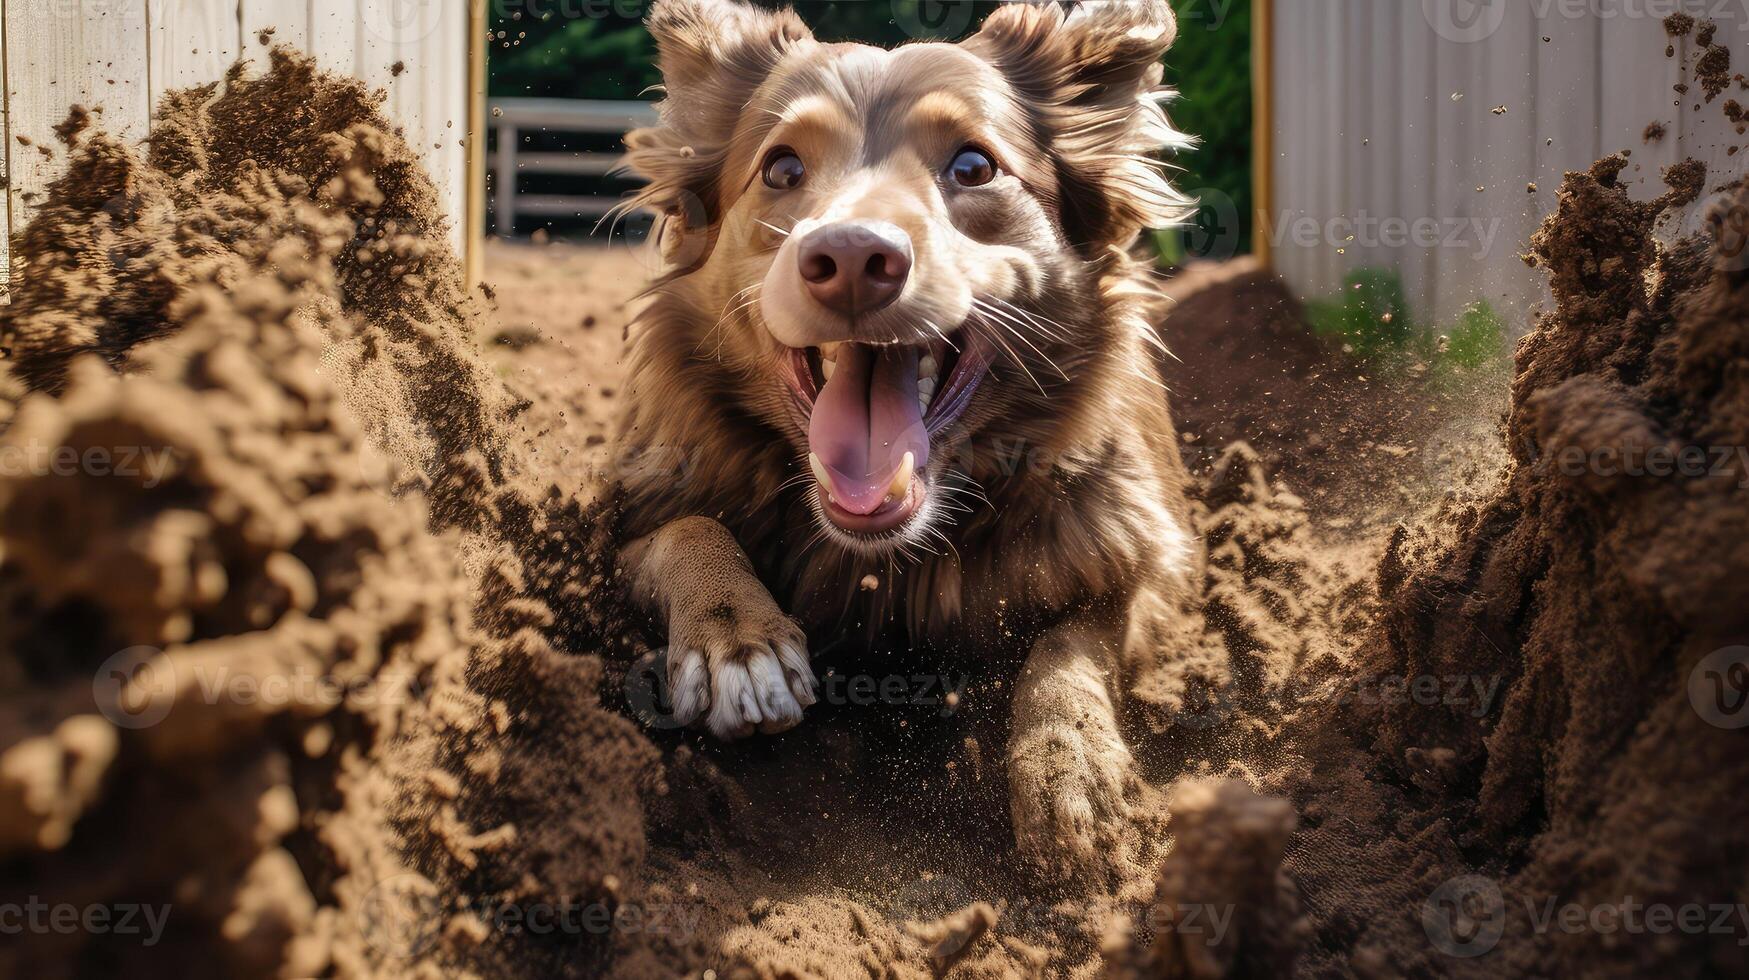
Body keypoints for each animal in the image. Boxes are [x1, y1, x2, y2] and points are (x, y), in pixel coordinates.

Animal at [608, 0, 1196, 875]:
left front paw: (1070, 760)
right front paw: (735, 639)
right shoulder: (614, 534)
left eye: (974, 166)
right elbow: (690, 528)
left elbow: (1073, 638)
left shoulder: (1148, 568)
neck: (885, 559)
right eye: (781, 169)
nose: (852, 257)